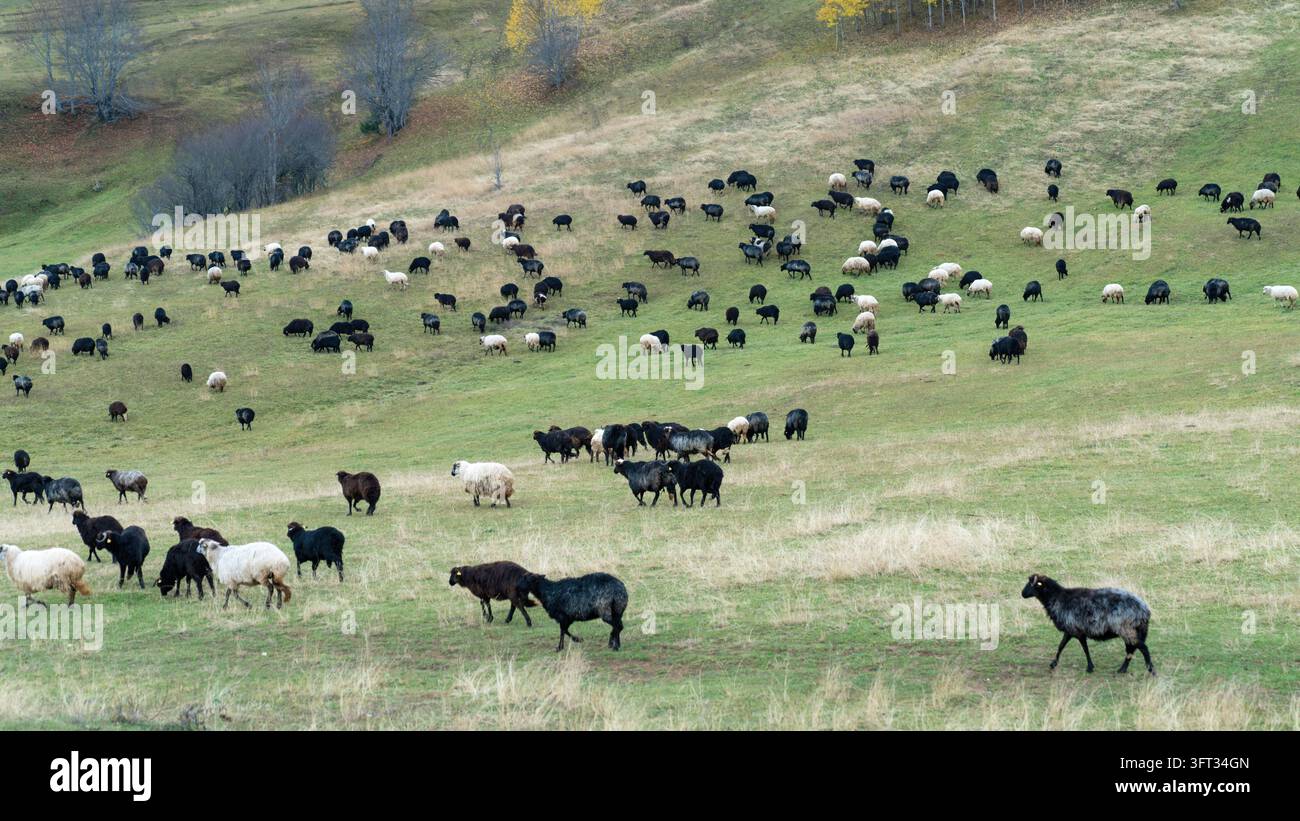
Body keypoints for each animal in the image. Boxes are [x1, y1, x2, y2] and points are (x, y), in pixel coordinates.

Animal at [1021, 573, 1154, 675]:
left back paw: (1150, 670)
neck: (1057, 598)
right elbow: (1061, 646)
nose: (1022, 594)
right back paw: (1122, 669)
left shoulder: (1076, 630)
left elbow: (1084, 648)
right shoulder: (1070, 630)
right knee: (1131, 649)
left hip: (1127, 629)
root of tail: (1144, 609)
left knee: (1142, 648)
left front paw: (1090, 667)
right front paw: (1053, 664)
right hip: (1131, 631)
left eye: (1031, 584)